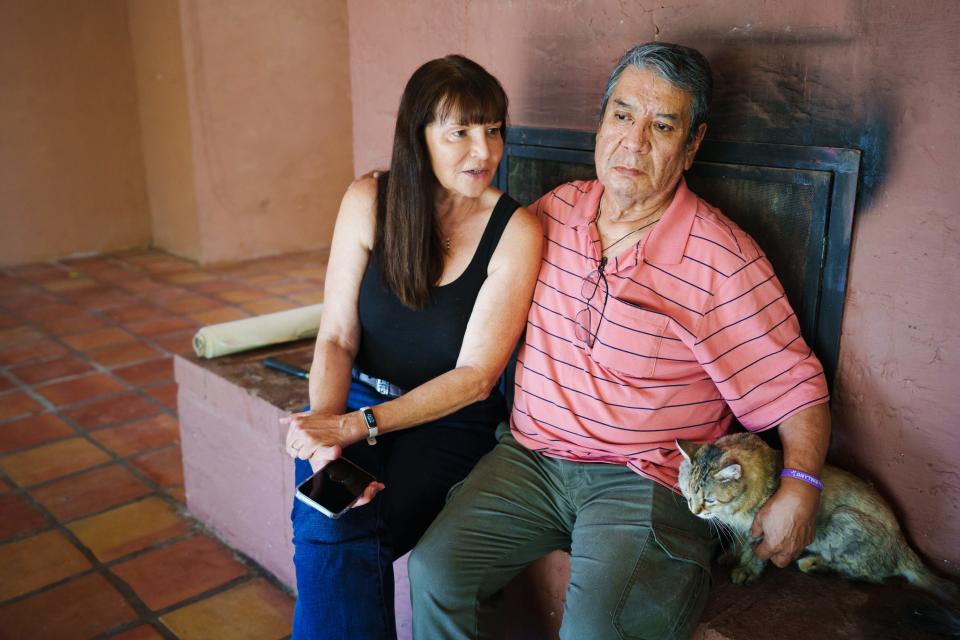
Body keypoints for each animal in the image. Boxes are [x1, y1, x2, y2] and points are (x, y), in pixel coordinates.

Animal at [672, 430, 956, 604]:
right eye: (687, 493)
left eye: (709, 499)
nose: (694, 511)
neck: (735, 508)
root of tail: (905, 546)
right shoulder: (740, 526)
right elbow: (738, 540)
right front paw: (732, 554)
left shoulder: (768, 527)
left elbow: (754, 551)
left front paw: (747, 568)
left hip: (843, 518)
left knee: (868, 574)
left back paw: (815, 564)